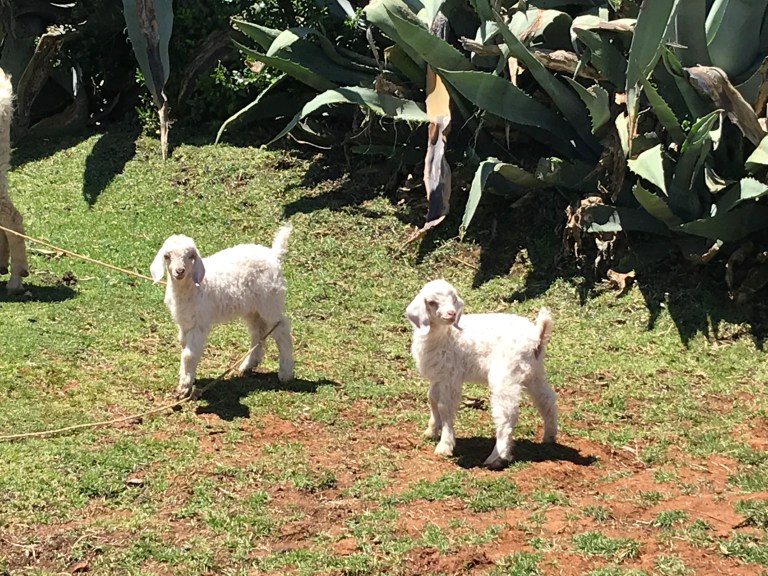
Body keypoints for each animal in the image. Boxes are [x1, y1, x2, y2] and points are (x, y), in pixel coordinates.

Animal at [150, 225, 294, 398]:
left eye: (191, 256)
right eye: (167, 256)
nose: (180, 271)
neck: (193, 288)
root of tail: (273, 254)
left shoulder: (200, 322)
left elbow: (188, 354)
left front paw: (183, 388)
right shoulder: (185, 322)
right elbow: (184, 346)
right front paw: (187, 378)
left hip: (270, 301)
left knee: (282, 328)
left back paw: (285, 373)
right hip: (253, 308)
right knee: (258, 331)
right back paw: (248, 365)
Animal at [406, 279, 557, 470]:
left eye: (453, 299)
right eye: (432, 302)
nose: (451, 314)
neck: (444, 334)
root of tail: (537, 336)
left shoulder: (451, 374)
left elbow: (444, 406)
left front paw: (445, 445)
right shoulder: (439, 374)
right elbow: (432, 399)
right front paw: (431, 430)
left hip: (506, 374)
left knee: (507, 414)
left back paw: (497, 457)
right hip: (533, 373)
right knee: (546, 399)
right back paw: (549, 436)